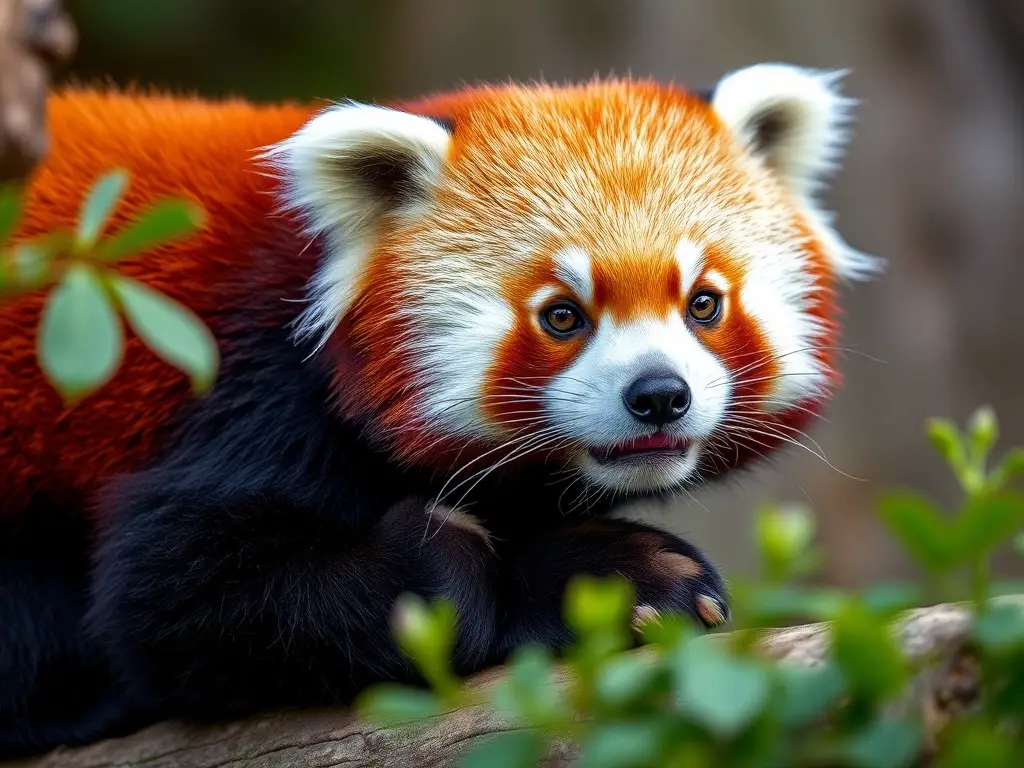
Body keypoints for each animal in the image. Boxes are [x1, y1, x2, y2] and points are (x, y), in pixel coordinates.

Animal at [0, 63, 880, 756]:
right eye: (562, 316)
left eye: (703, 303)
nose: (659, 395)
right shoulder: (250, 387)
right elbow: (170, 597)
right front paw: (475, 562)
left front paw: (615, 569)